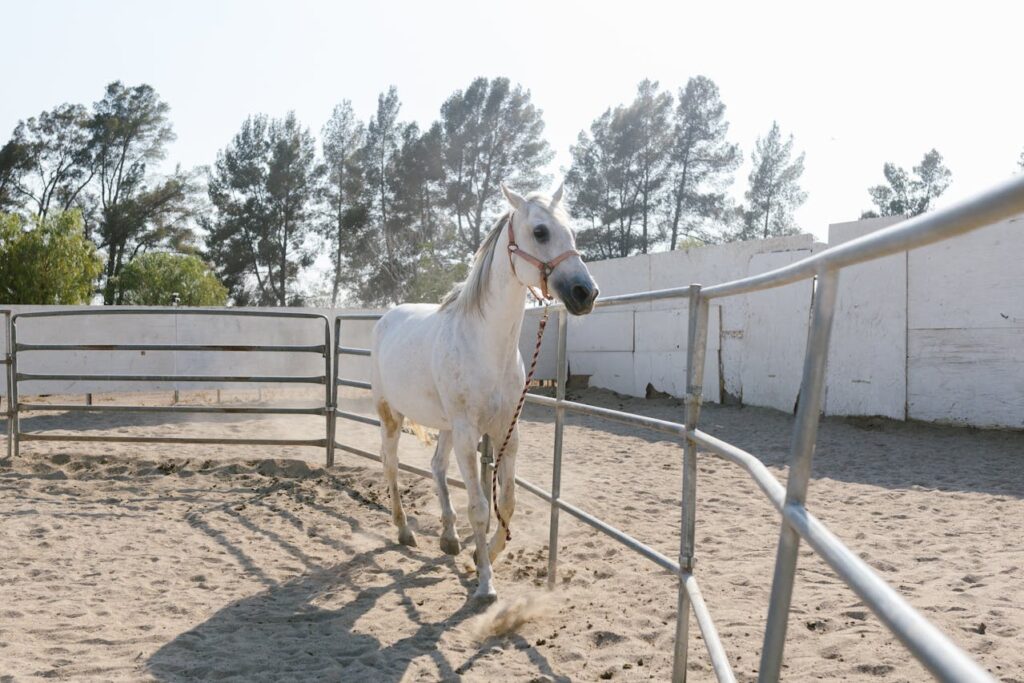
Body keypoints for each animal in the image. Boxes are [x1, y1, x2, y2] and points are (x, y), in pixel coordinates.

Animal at [370, 183, 599, 601]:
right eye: (540, 231)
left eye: (572, 233)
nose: (585, 293)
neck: (485, 344)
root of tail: (387, 317)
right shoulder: (468, 433)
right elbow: (479, 507)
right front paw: (485, 584)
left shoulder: (507, 431)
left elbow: (506, 503)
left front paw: (482, 555)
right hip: (391, 414)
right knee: (390, 463)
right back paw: (404, 529)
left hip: (444, 425)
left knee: (436, 467)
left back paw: (448, 537)